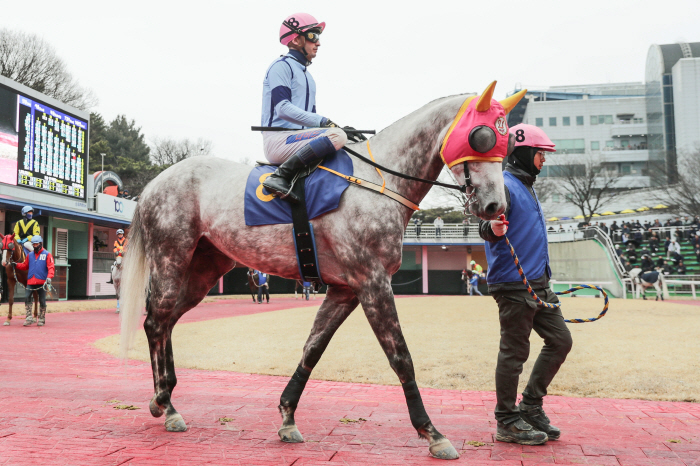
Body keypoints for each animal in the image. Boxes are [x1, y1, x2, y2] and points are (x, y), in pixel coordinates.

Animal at [121, 92, 508, 458]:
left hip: (204, 269)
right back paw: (166, 404)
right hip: (171, 257)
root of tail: (155, 183)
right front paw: (432, 433)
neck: (376, 182)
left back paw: (164, 397)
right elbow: (401, 357)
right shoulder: (372, 281)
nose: (495, 206)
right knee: (156, 321)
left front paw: (288, 417)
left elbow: (313, 348)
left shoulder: (345, 289)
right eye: (482, 136)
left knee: (167, 320)